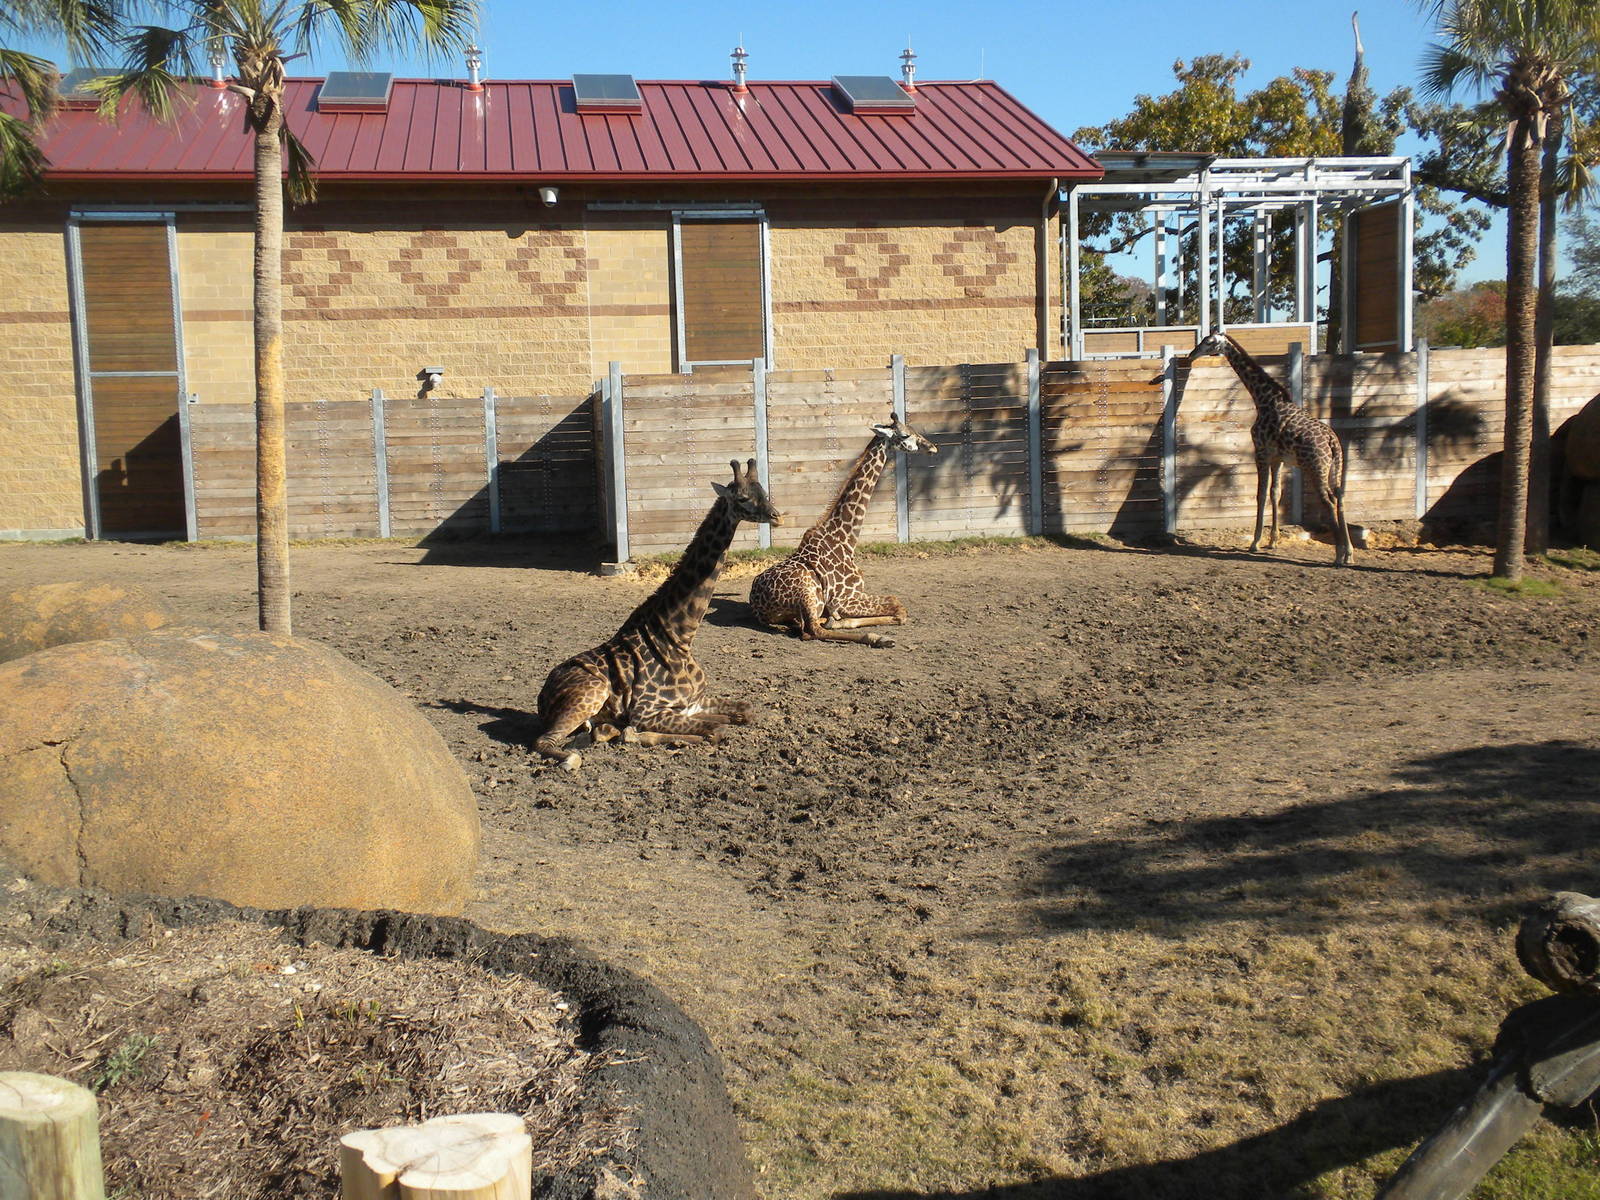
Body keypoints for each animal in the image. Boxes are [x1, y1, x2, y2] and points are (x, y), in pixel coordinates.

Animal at [534, 459, 781, 770]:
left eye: (764, 491)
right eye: (743, 498)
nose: (776, 516)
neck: (680, 637)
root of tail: (542, 697)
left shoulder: (693, 703)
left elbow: (745, 711)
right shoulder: (646, 710)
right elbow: (717, 729)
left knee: (601, 731)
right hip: (591, 694)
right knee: (545, 741)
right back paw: (572, 757)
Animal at [749, 411, 938, 647]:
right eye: (905, 435)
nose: (932, 447)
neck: (845, 538)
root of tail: (756, 606)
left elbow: (895, 603)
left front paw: (837, 620)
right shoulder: (844, 599)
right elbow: (898, 607)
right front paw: (843, 621)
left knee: (807, 625)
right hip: (806, 592)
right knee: (812, 630)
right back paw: (878, 638)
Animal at [1189, 331, 1356, 566]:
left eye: (1209, 342)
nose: (1191, 354)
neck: (1264, 399)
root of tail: (1333, 441)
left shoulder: (1260, 451)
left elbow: (1260, 494)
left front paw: (1255, 543)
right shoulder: (1278, 458)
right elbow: (1275, 493)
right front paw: (1272, 541)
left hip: (1315, 467)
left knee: (1329, 501)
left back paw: (1339, 554)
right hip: (1335, 466)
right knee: (1340, 497)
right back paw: (1349, 552)